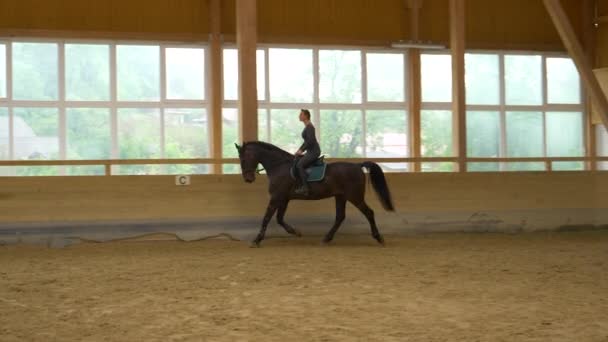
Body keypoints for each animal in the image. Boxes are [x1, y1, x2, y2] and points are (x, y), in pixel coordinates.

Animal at [235, 140, 396, 247]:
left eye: (243, 159)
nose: (248, 179)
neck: (279, 166)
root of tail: (357, 166)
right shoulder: (284, 198)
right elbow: (279, 219)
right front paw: (295, 232)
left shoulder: (276, 197)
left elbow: (267, 218)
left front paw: (256, 240)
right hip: (341, 197)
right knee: (340, 217)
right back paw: (327, 238)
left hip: (354, 197)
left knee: (369, 213)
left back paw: (378, 238)